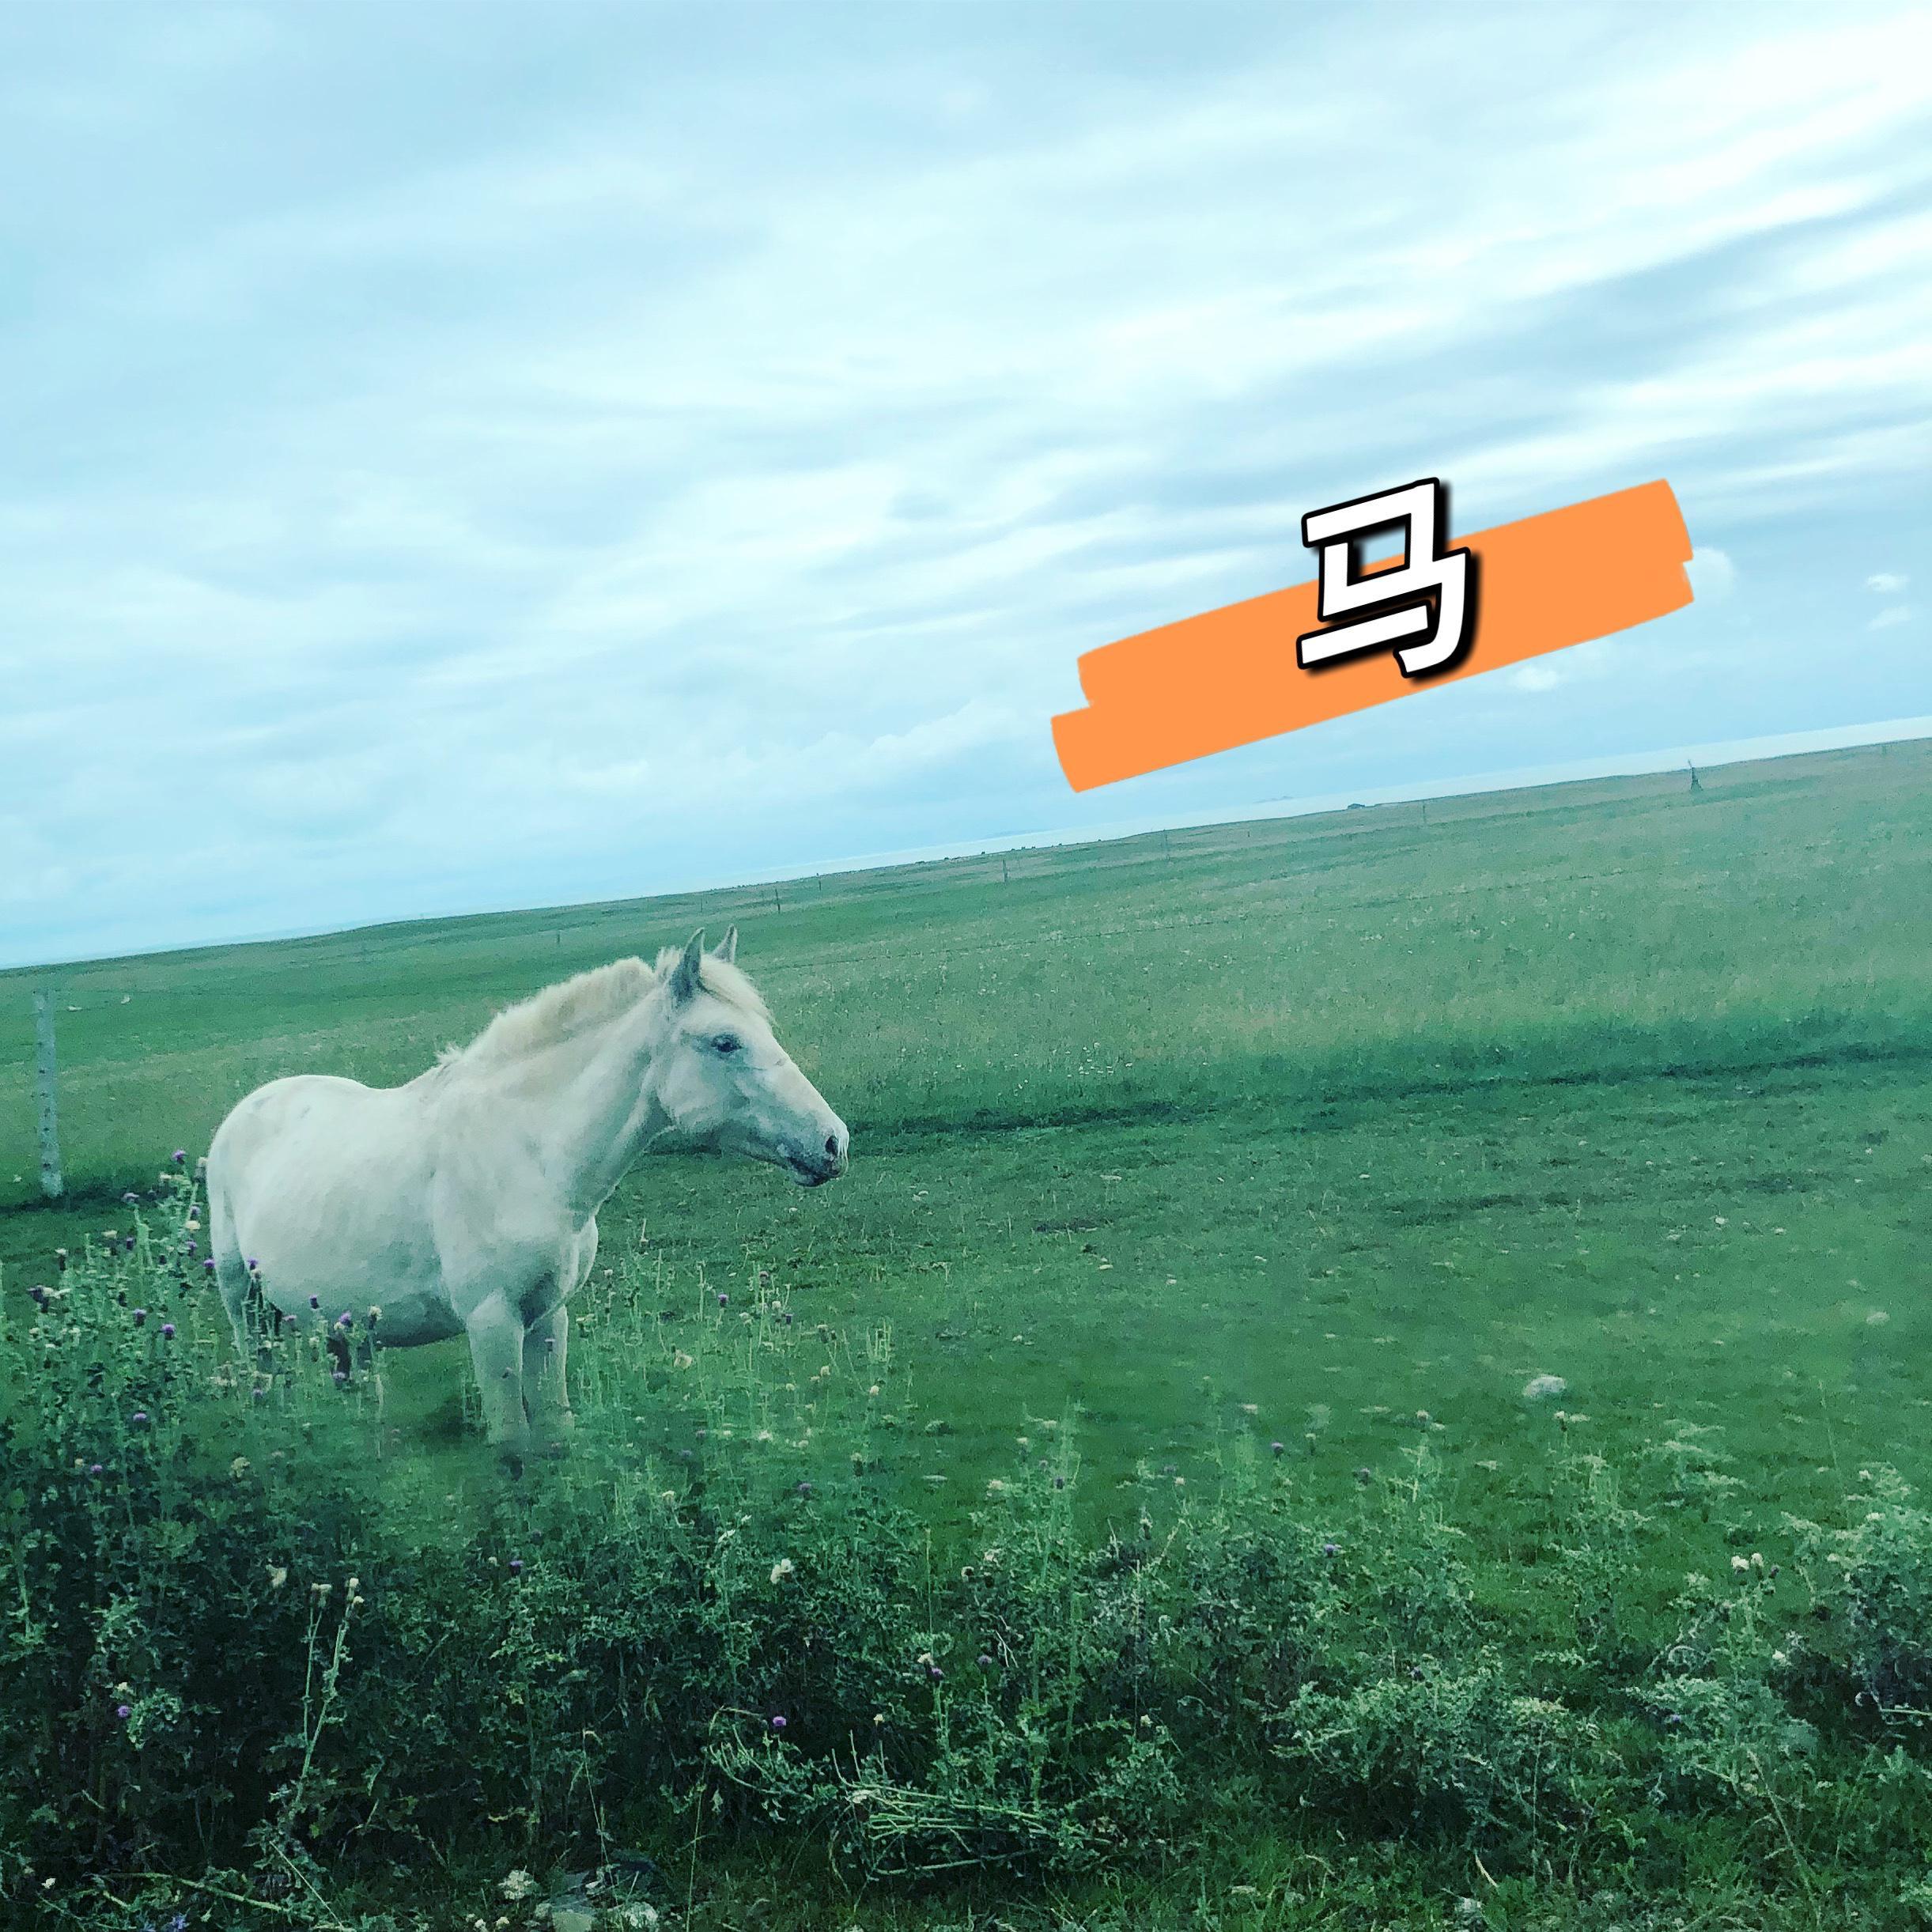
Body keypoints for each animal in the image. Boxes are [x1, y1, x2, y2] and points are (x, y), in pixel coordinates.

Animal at [204, 928, 848, 1457]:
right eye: (724, 1042)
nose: (833, 1142)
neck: (530, 1156)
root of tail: (243, 1112)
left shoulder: (547, 1317)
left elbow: (555, 1432)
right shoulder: (492, 1324)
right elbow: (512, 1445)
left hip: (345, 1327)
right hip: (247, 1309)